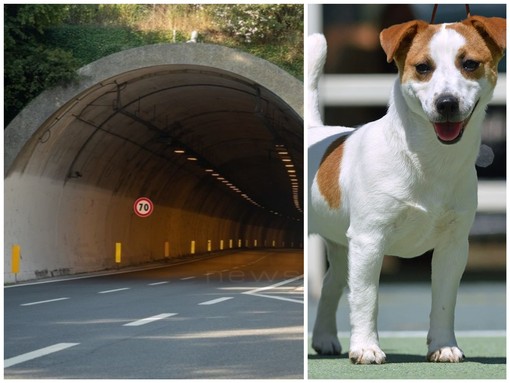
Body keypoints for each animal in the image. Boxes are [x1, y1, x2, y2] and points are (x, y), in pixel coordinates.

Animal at [308, 15, 504, 364]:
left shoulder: (453, 247)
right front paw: (366, 348)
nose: (446, 103)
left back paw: (325, 338)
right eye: (423, 67)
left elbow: (444, 301)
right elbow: (366, 298)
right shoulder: (369, 241)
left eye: (469, 64)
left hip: (343, 248)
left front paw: (443, 346)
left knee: (331, 285)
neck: (428, 158)